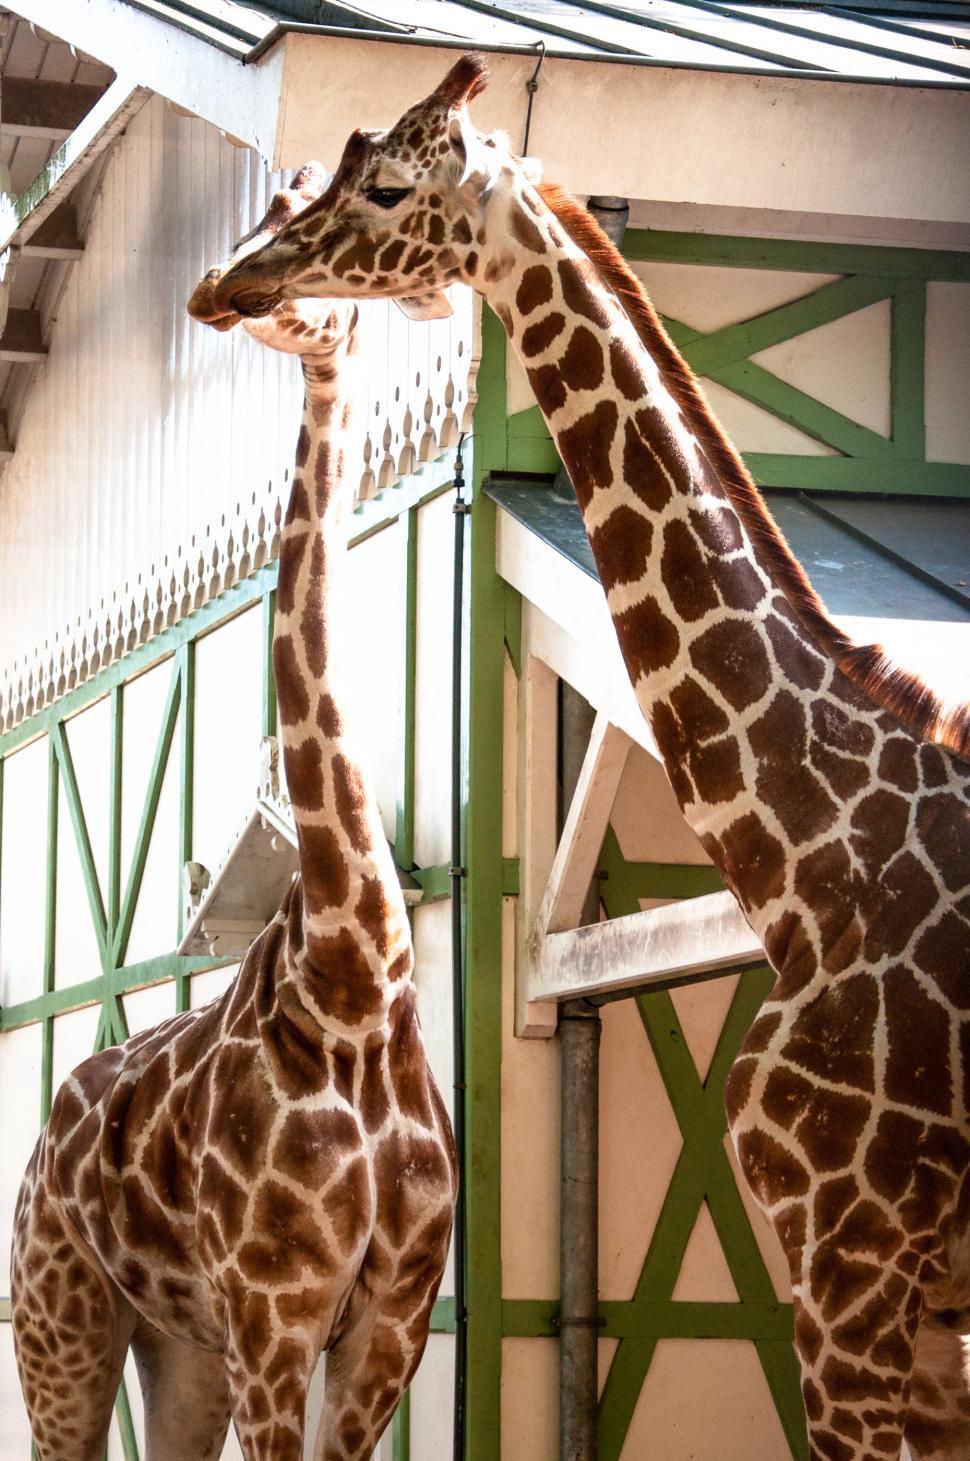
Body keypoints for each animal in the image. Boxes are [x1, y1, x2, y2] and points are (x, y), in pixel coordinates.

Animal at [10, 165, 457, 1461]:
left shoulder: (387, 1325)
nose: (218, 287)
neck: (359, 982)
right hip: (60, 1312)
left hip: (181, 1347)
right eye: (271, 201)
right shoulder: (277, 1311)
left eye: (320, 219)